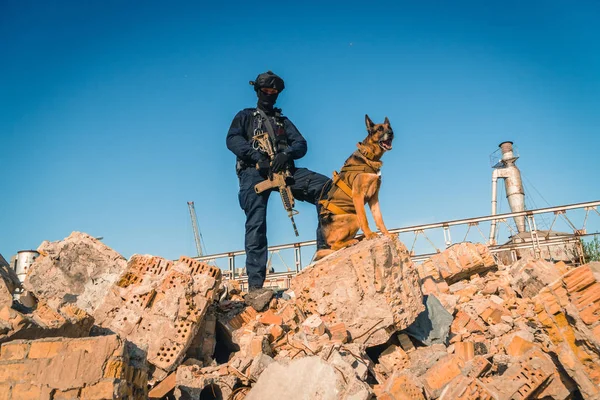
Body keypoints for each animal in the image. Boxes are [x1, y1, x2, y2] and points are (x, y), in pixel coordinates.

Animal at [314, 114, 394, 260]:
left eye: (389, 127)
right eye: (380, 129)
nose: (391, 133)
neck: (369, 156)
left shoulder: (374, 198)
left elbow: (379, 218)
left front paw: (387, 234)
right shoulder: (358, 195)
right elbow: (364, 218)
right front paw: (370, 235)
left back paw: (359, 237)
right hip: (353, 217)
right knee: (335, 245)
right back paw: (352, 241)